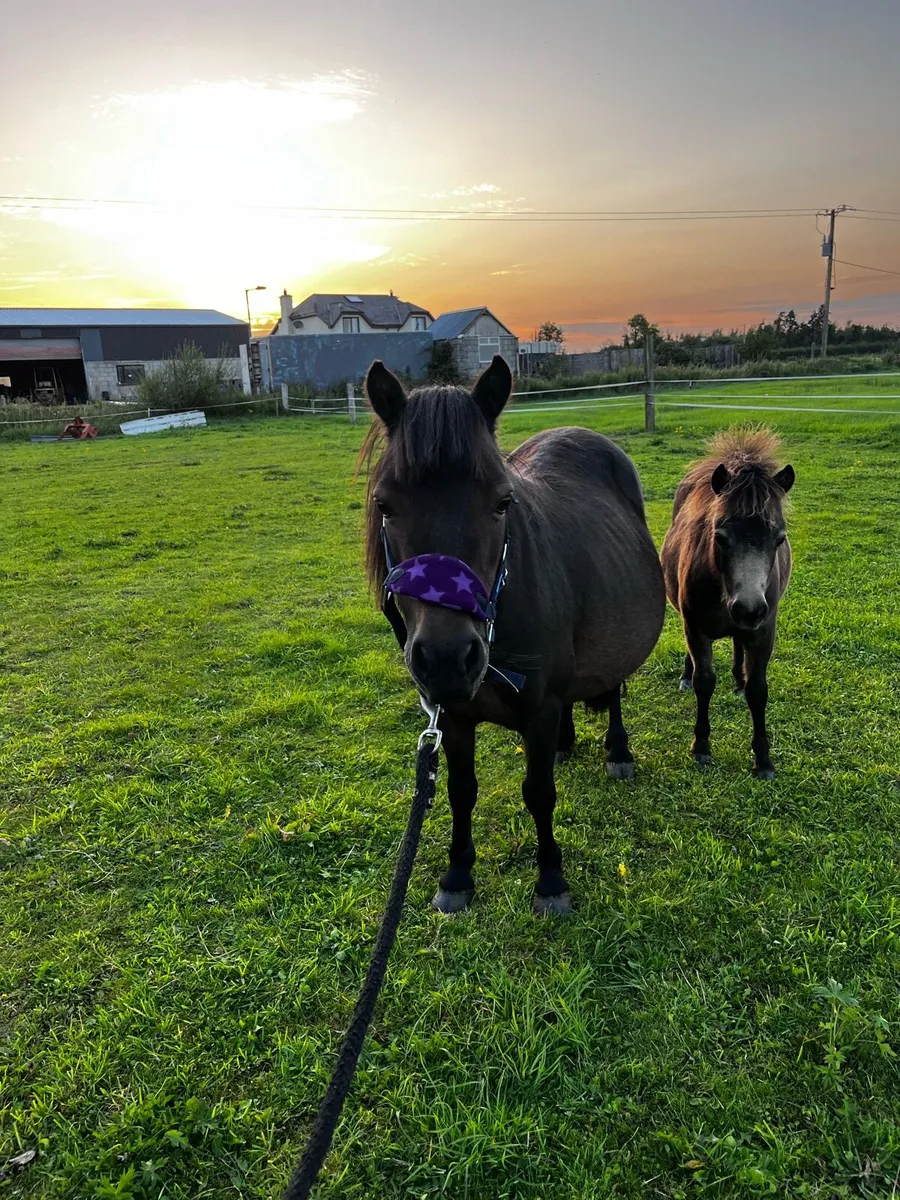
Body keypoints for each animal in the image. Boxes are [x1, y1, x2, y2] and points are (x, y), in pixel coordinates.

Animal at [362, 356, 665, 914]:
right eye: (385, 505)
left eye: (503, 502)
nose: (446, 657)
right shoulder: (452, 716)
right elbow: (461, 790)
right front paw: (457, 874)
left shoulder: (538, 707)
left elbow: (539, 792)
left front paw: (550, 880)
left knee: (612, 685)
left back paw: (618, 752)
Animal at [660, 427, 795, 779]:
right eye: (719, 537)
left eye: (779, 539)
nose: (748, 608)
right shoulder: (695, 627)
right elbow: (704, 682)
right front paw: (701, 746)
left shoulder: (764, 630)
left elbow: (758, 690)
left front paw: (763, 760)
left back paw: (737, 678)